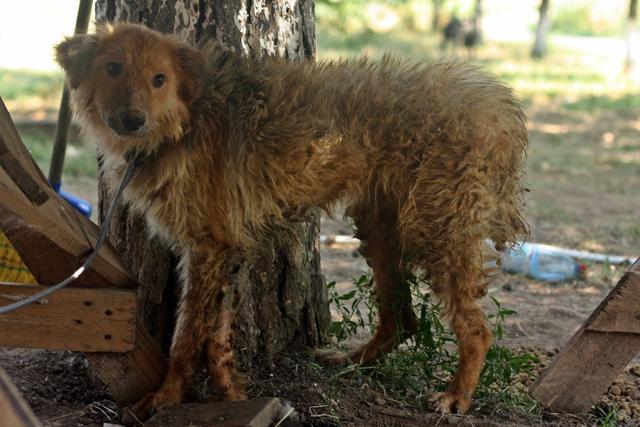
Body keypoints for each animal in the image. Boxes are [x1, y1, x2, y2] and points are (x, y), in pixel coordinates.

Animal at [57, 24, 528, 422]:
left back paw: (457, 396)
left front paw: (168, 396)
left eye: (159, 79)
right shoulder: (224, 248)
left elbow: (187, 335)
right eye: (113, 68)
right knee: (401, 316)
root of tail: (494, 106)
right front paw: (232, 395)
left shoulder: (208, 248)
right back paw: (353, 362)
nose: (132, 120)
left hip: (440, 232)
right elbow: (216, 336)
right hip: (381, 230)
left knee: (476, 330)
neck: (188, 121)